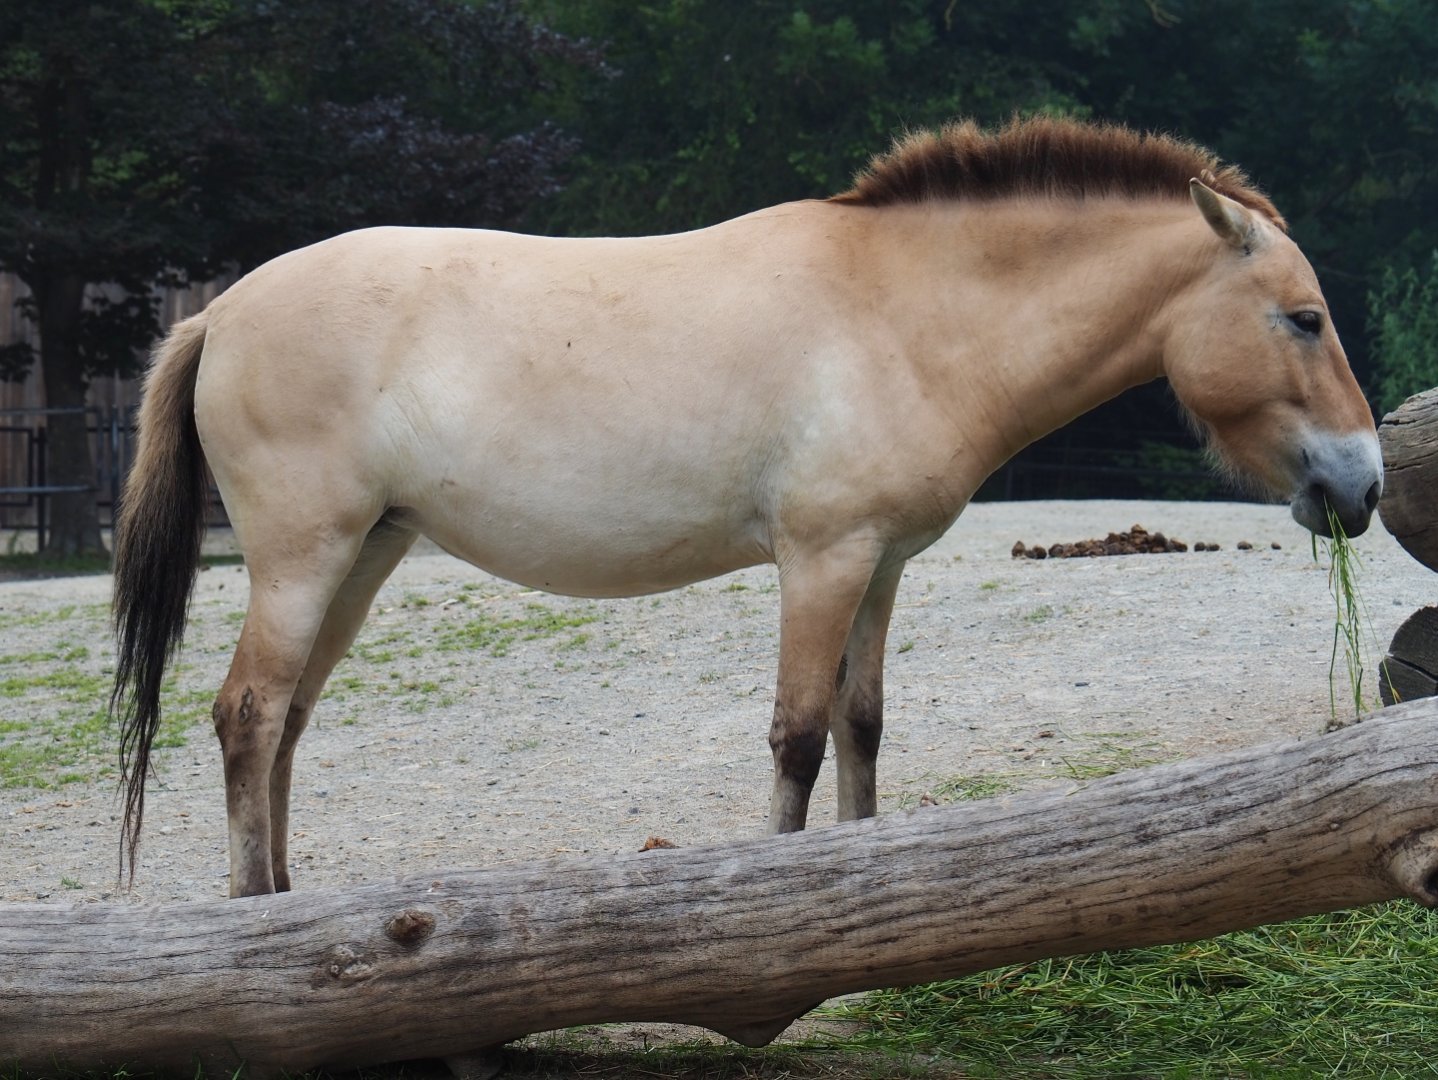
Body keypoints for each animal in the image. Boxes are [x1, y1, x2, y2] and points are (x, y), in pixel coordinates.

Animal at [111, 117, 1382, 897]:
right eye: (1303, 318)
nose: (1362, 484)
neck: (900, 314)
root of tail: (220, 309)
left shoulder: (881, 564)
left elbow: (862, 727)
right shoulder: (821, 560)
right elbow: (799, 737)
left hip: (363, 557)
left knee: (284, 725)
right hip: (302, 557)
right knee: (247, 716)